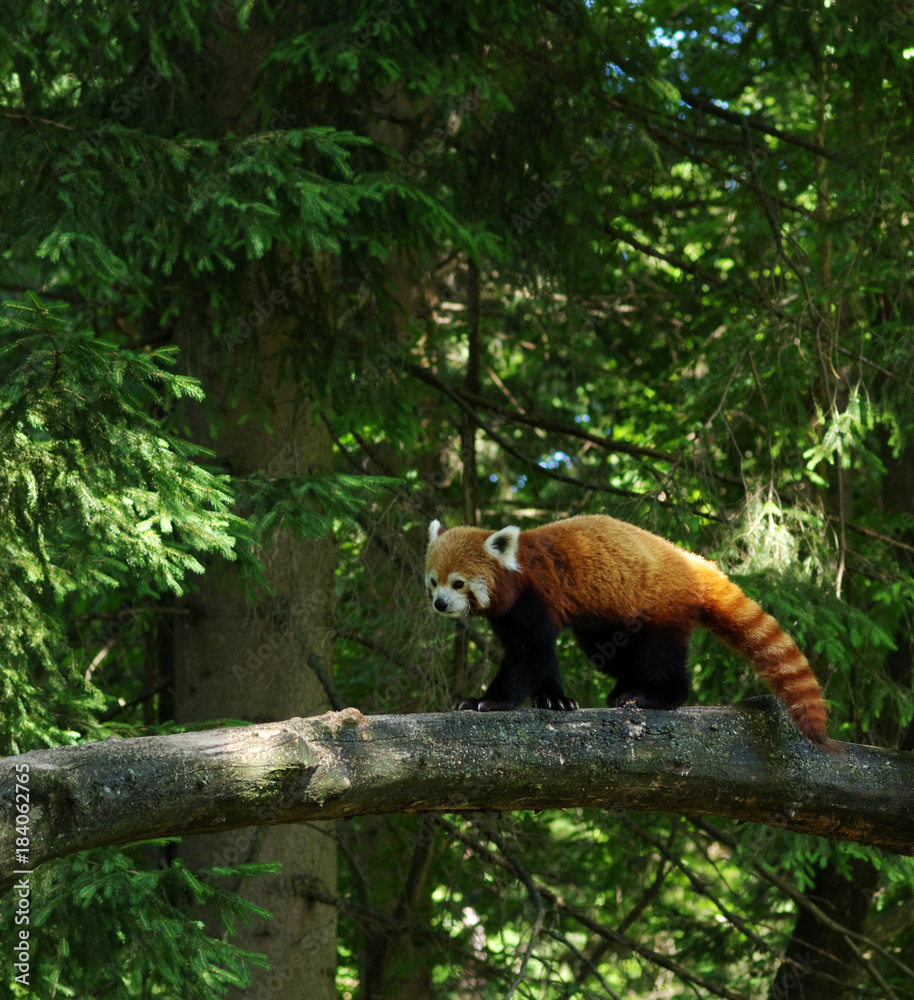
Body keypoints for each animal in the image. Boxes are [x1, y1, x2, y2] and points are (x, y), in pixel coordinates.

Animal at [424, 516, 832, 752]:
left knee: (661, 656)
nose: (440, 605)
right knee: (613, 655)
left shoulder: (534, 597)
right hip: (610, 622)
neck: (517, 571)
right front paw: (556, 700)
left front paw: (485, 701)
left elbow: (530, 654)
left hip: (660, 608)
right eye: (433, 581)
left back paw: (654, 696)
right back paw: (625, 688)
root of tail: (691, 562)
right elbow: (543, 658)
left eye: (458, 583)